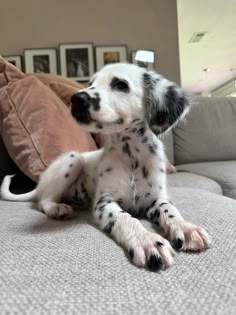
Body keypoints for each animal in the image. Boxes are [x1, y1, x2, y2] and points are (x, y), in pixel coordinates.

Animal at [0, 63, 210, 272]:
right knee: (43, 200)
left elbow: (170, 210)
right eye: (91, 83)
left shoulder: (156, 199)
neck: (132, 155)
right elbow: (126, 218)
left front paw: (185, 227)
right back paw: (57, 208)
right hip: (72, 159)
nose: (77, 98)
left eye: (120, 84)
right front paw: (147, 240)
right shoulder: (105, 203)